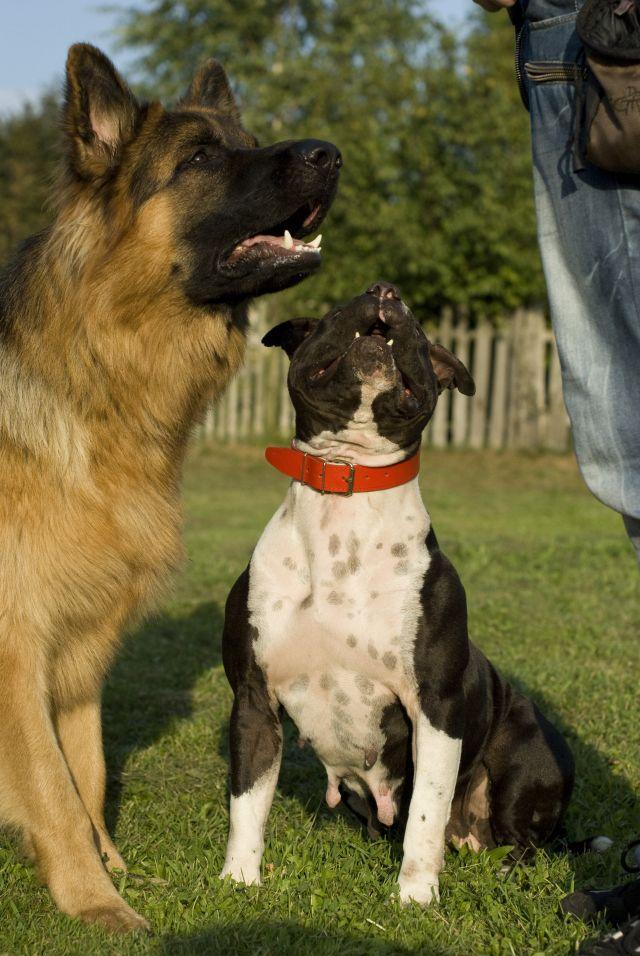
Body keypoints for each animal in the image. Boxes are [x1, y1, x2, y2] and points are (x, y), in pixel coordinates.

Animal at [0, 41, 340, 928]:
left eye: (247, 140)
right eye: (199, 159)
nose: (331, 153)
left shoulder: (82, 644)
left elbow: (84, 769)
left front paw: (105, 865)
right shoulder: (17, 646)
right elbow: (50, 783)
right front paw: (93, 899)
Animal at [220, 282, 576, 904]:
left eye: (416, 326)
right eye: (337, 309)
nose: (386, 291)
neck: (348, 482)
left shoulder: (434, 708)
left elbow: (426, 814)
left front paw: (415, 896)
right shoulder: (253, 698)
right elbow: (248, 802)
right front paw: (239, 880)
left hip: (525, 758)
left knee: (525, 842)